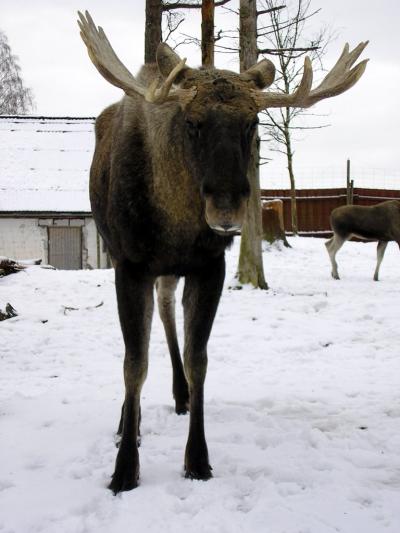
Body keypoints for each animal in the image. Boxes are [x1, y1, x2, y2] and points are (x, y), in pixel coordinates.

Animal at [77, 10, 368, 492]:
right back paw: (127, 423)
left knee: (166, 308)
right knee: (150, 330)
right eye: (192, 122)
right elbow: (133, 364)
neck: (174, 224)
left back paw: (178, 396)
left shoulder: (209, 265)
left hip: (172, 271)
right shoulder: (130, 264)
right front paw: (124, 468)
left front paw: (197, 459)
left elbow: (199, 361)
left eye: (252, 124)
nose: (228, 207)